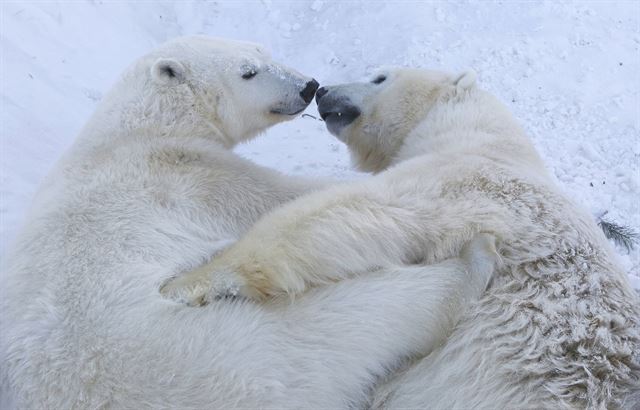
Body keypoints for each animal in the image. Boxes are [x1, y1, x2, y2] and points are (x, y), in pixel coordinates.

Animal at [0, 36, 500, 408]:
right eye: (248, 71)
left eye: (263, 51)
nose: (308, 85)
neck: (139, 127)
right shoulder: (193, 176)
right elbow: (281, 198)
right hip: (211, 355)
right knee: (347, 321)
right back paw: (470, 264)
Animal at [169, 67, 640, 406]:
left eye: (380, 76)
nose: (324, 90)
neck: (485, 136)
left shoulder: (470, 181)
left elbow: (359, 212)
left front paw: (192, 282)